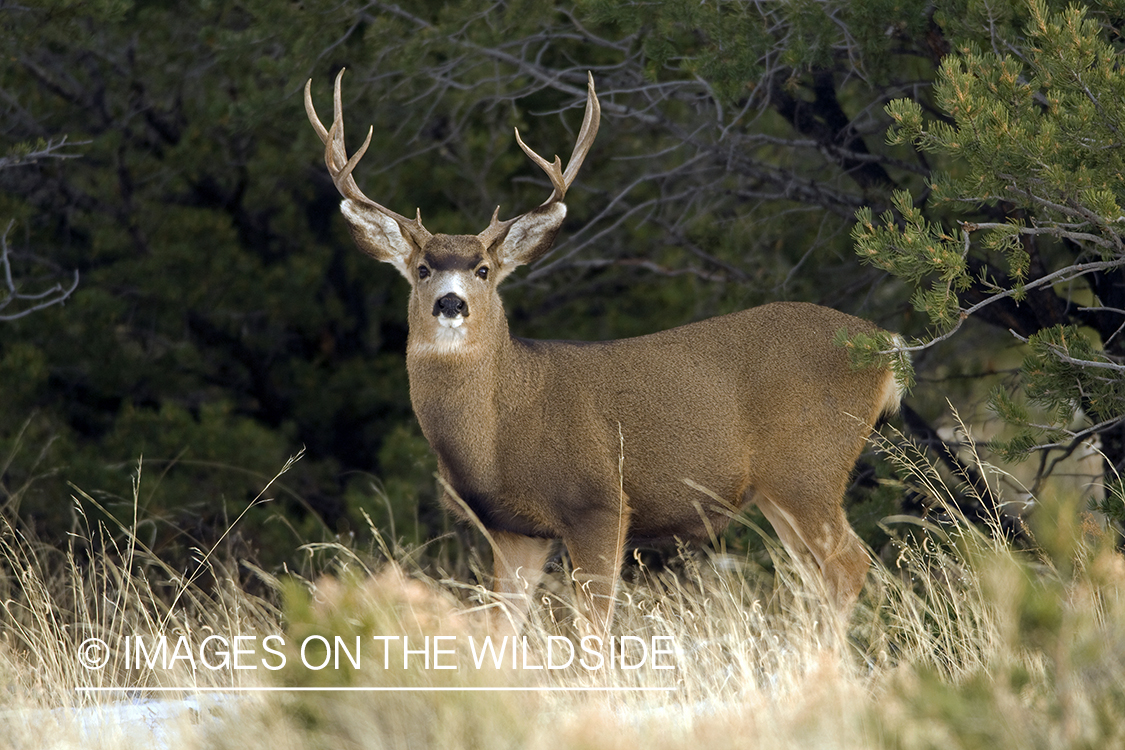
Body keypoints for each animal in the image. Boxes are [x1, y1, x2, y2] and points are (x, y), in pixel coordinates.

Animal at [305, 70, 905, 637]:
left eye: (483, 269)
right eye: (424, 268)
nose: (450, 303)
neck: (497, 434)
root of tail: (889, 345)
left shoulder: (599, 503)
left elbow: (592, 629)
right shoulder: (514, 528)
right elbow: (500, 628)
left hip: (809, 466)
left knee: (850, 565)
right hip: (779, 491)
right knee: (824, 575)